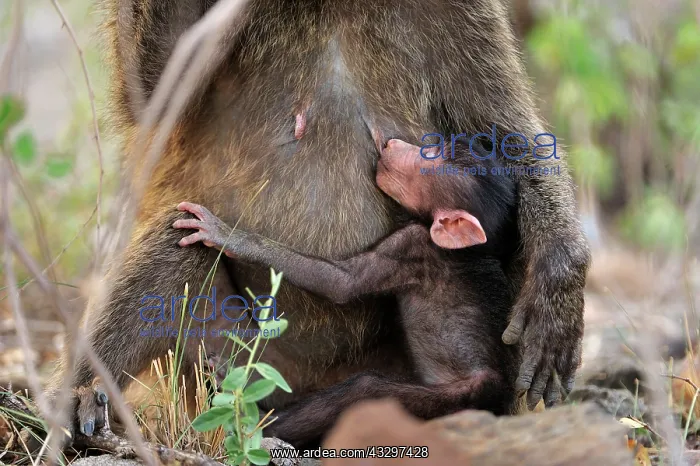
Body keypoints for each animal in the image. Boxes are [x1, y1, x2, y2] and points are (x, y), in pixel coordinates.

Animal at [172, 137, 521, 445]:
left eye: (431, 155)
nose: (393, 143)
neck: (471, 250)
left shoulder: (412, 247)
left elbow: (341, 282)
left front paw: (231, 237)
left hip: (457, 399)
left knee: (366, 391)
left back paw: (248, 416)